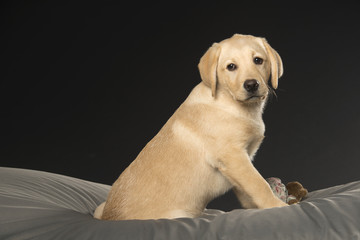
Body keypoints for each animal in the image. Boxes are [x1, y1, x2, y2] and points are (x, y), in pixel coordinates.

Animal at [95, 33, 286, 221]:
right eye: (231, 67)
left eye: (258, 60)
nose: (251, 85)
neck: (230, 103)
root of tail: (107, 217)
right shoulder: (233, 156)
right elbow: (259, 184)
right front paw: (277, 205)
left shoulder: (240, 161)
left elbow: (247, 191)